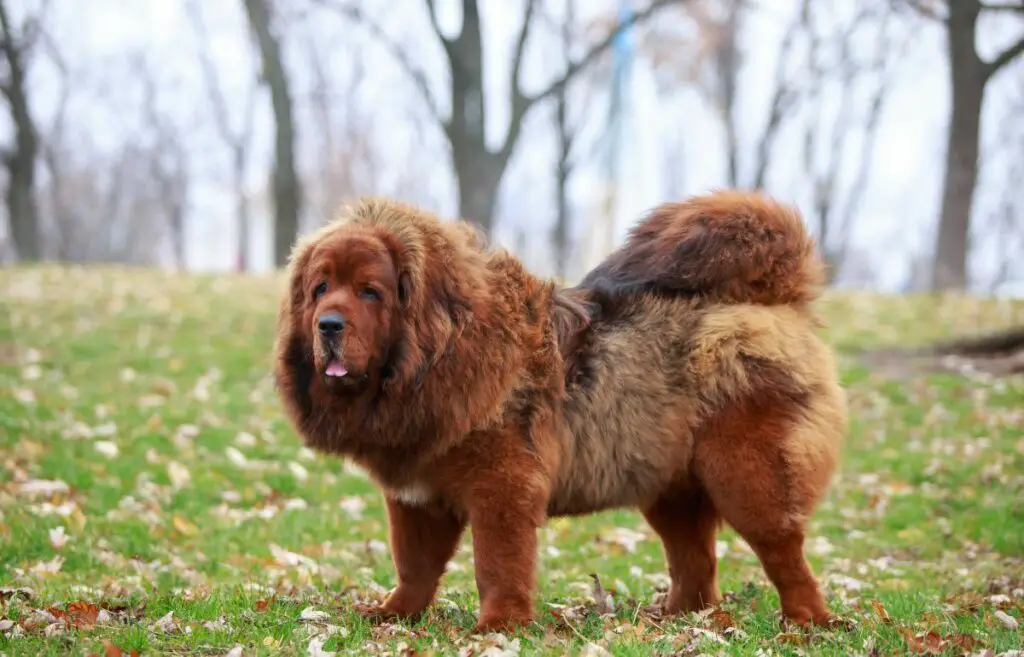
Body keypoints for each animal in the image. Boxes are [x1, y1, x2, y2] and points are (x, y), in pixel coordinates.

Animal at [274, 189, 847, 630]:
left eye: (370, 292)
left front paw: (499, 626)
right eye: (320, 288)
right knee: (697, 564)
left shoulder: (501, 487)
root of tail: (776, 301)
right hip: (669, 487)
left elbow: (497, 563)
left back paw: (806, 623)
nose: (328, 324)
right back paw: (676, 618)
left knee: (784, 553)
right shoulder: (416, 496)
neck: (439, 355)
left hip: (746, 476)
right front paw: (393, 615)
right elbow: (414, 566)